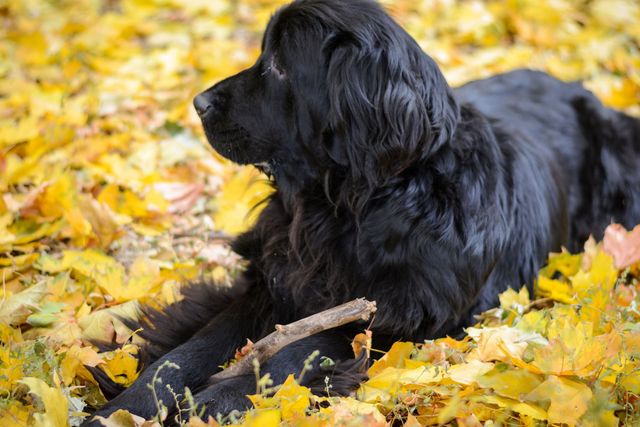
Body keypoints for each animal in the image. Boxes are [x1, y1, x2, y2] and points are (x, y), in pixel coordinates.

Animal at [89, 0, 640, 422]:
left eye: (280, 65)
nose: (199, 102)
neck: (352, 204)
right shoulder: (272, 284)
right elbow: (189, 350)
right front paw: (125, 408)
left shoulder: (398, 321)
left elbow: (294, 353)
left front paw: (210, 403)